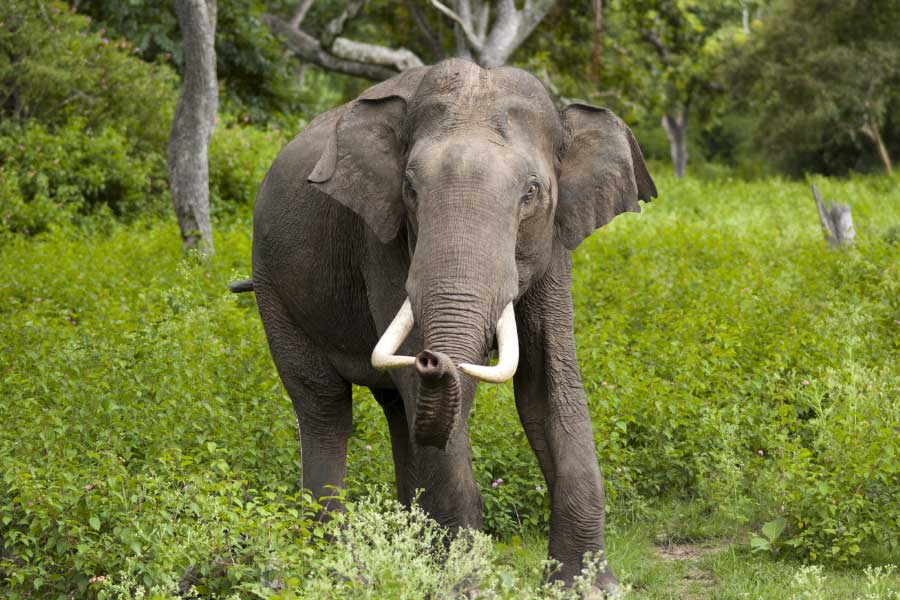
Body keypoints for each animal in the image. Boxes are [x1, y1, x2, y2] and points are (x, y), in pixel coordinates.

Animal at [239, 58, 656, 592]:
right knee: (325, 407)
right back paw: (340, 569)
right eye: (410, 189)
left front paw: (587, 588)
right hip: (273, 287)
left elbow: (547, 385)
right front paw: (463, 587)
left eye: (532, 192)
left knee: (397, 412)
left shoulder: (555, 242)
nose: (432, 358)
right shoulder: (384, 240)